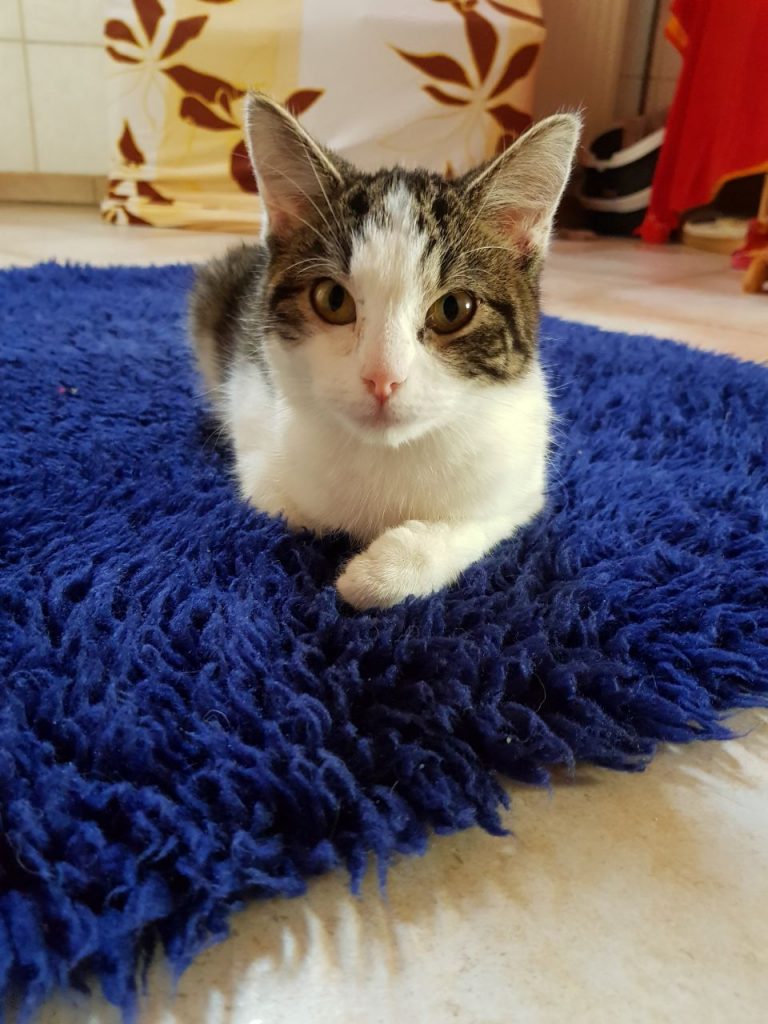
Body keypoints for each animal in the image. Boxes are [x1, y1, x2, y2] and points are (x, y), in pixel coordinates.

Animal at [190, 92, 580, 610]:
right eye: (333, 300)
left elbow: (482, 521)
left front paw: (383, 571)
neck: (390, 454)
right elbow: (296, 508)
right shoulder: (262, 462)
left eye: (453, 308)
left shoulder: (520, 481)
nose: (382, 378)